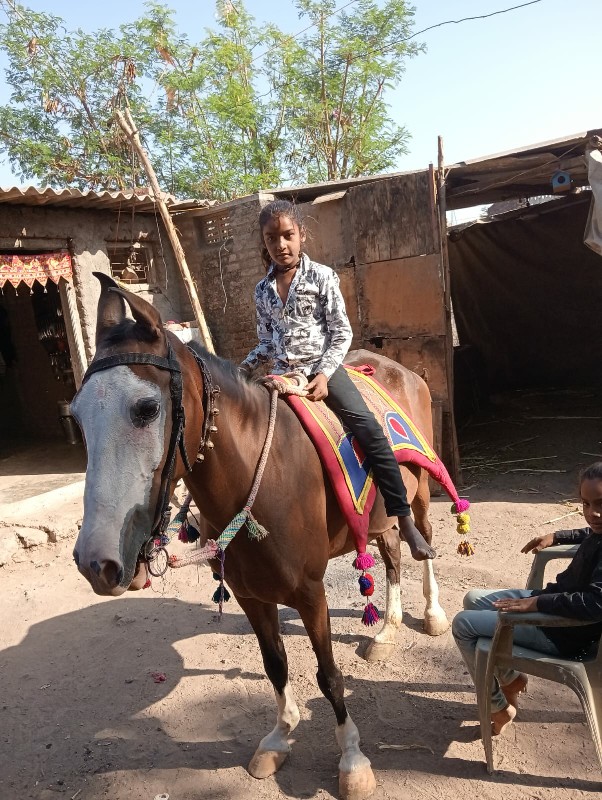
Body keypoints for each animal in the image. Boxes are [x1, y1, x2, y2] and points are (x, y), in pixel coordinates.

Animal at [71, 276, 446, 800]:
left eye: (146, 409)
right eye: (77, 416)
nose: (95, 562)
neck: (260, 475)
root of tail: (399, 369)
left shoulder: (310, 592)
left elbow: (329, 676)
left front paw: (352, 761)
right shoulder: (250, 594)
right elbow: (276, 665)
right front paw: (279, 738)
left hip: (422, 492)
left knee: (422, 540)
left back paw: (432, 614)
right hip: (376, 520)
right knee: (390, 554)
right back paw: (387, 631)